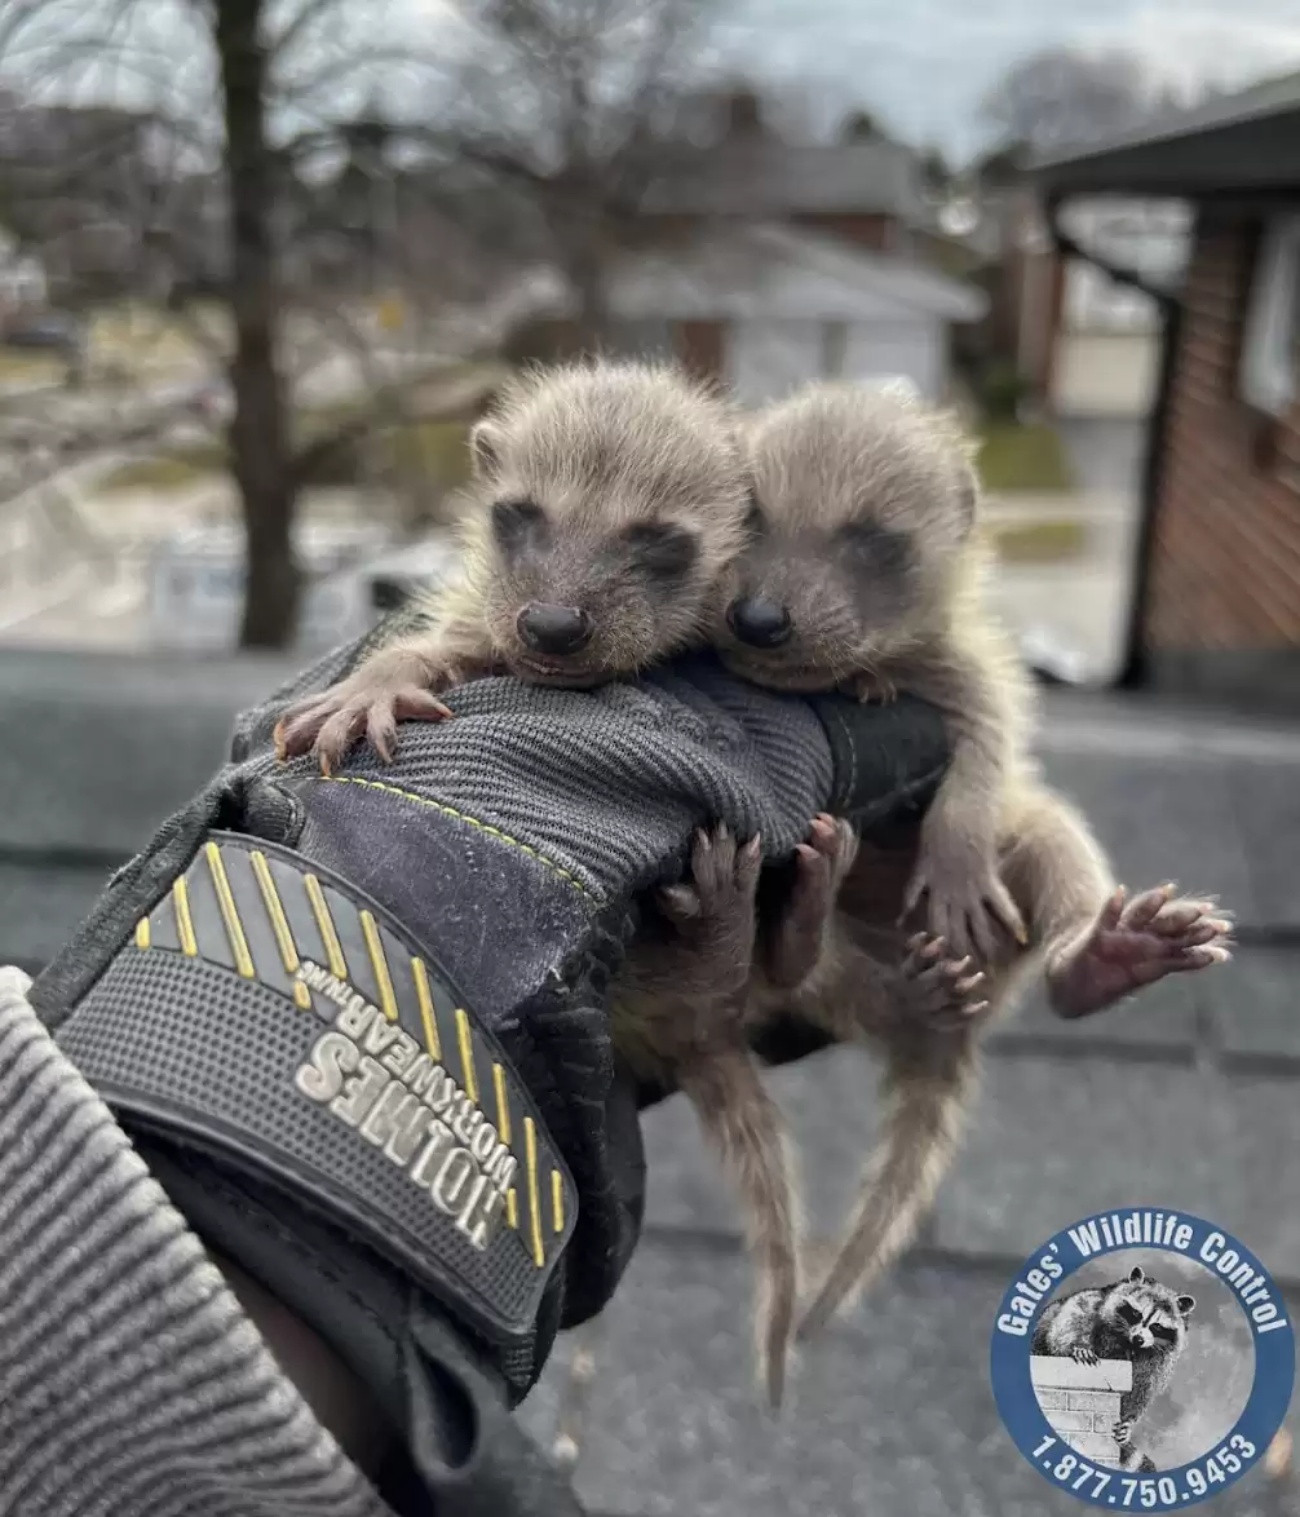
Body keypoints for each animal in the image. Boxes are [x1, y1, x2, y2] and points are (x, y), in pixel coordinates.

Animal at [715, 385, 1231, 1347]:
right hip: (825, 973)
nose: (757, 620)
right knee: (801, 973)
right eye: (750, 516)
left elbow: (987, 744)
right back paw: (806, 922)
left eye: (871, 540)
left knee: (1053, 844)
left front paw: (953, 852)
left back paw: (1103, 958)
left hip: (1026, 871)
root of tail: (953, 1015)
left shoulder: (967, 668)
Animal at [1037, 1268, 1195, 1468]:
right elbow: (1072, 1317)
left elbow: (1142, 1387)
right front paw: (1078, 1345)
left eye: (1157, 1326)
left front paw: (1129, 1420)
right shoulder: (1095, 1303)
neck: (1128, 1341)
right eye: (1136, 1313)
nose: (1139, 1339)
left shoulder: (1159, 1359)